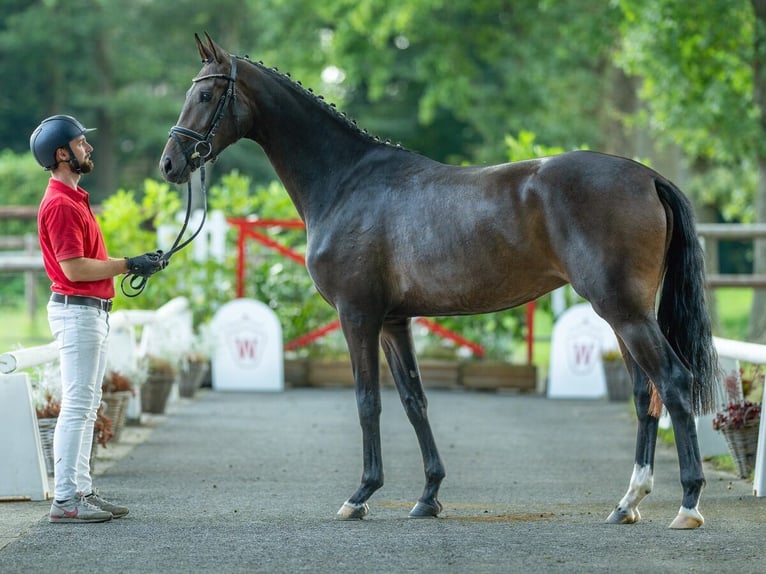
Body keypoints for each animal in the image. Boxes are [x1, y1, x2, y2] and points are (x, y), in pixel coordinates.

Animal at [160, 33, 720, 532]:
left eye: (206, 95)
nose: (170, 164)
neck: (346, 181)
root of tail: (647, 177)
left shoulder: (357, 315)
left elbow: (367, 400)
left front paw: (360, 495)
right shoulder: (394, 321)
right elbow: (414, 401)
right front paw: (428, 496)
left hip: (623, 312)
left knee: (673, 381)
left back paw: (689, 504)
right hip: (624, 316)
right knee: (645, 393)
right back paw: (628, 503)